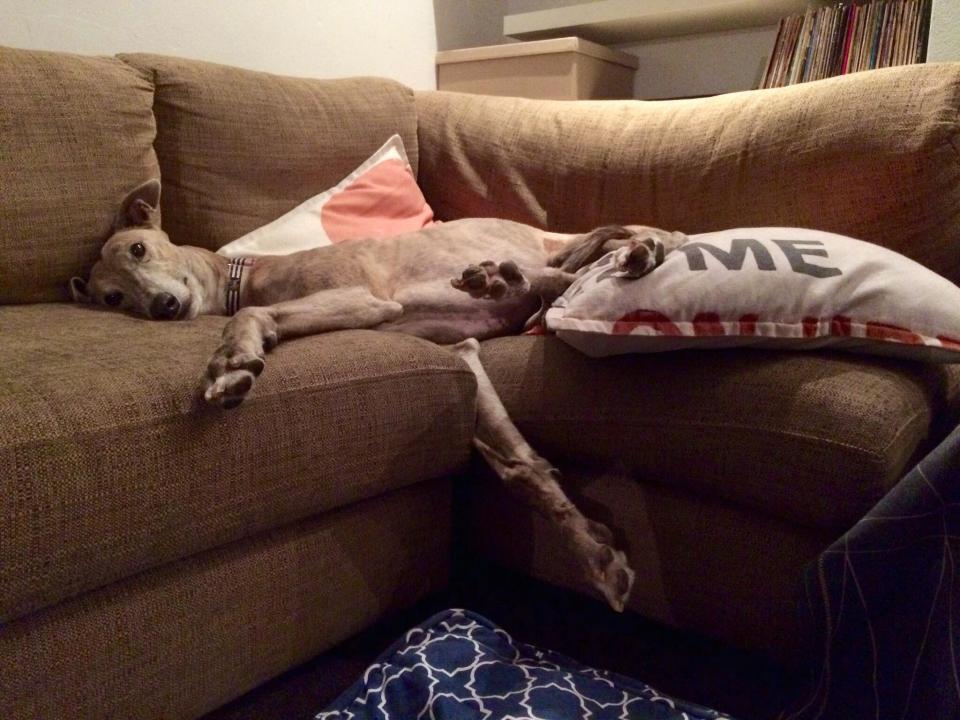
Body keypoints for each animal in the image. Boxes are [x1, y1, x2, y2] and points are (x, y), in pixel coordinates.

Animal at [73, 180, 688, 612]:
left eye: (138, 248)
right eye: (111, 298)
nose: (162, 308)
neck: (244, 276)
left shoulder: (363, 299)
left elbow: (251, 316)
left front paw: (231, 362)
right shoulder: (462, 355)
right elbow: (520, 466)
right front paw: (594, 550)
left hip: (574, 241)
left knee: (634, 242)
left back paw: (628, 251)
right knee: (563, 274)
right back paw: (506, 278)